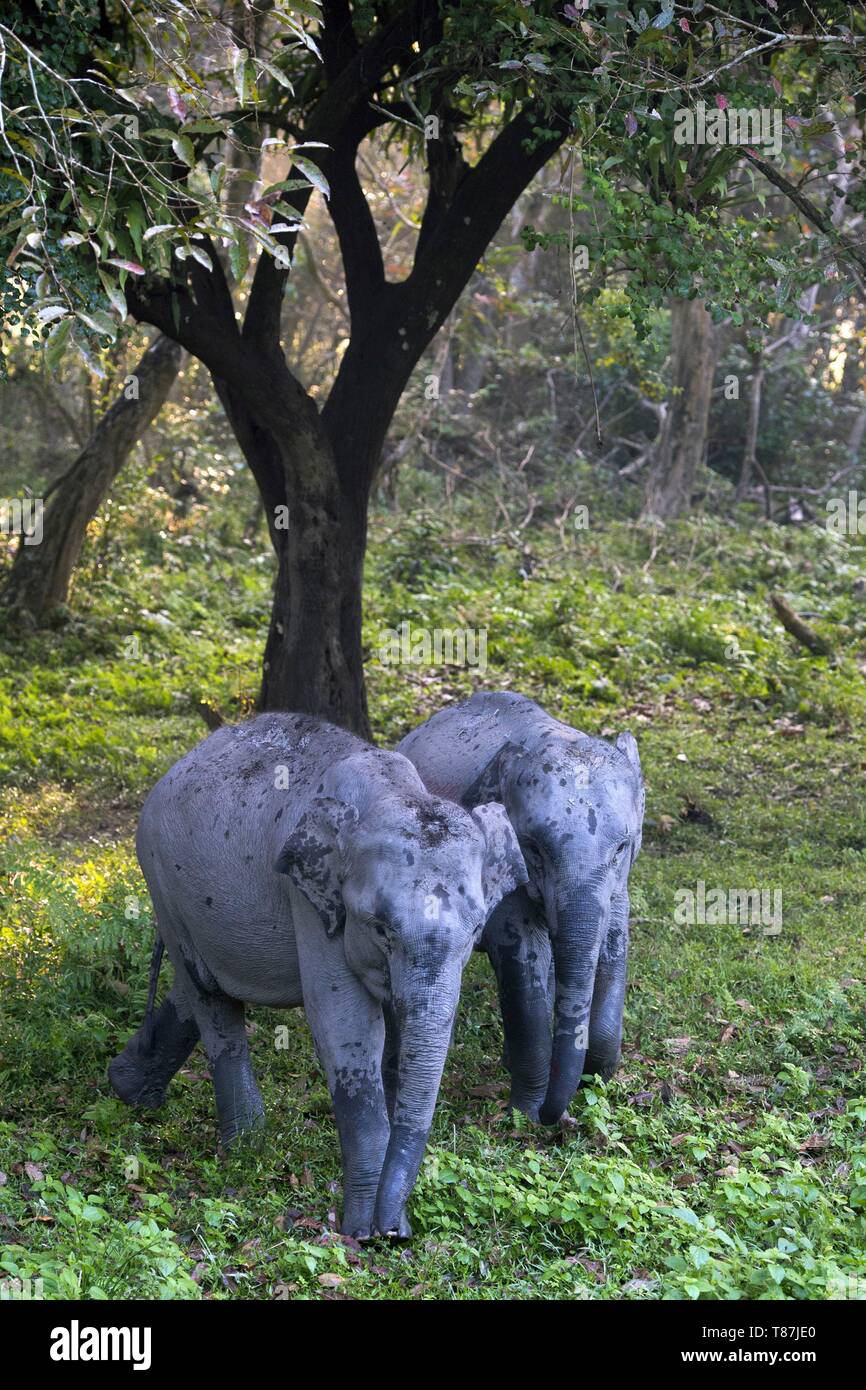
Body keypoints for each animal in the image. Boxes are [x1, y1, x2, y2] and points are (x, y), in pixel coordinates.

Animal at [108, 717, 528, 1239]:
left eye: (476, 930)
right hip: (161, 880)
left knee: (198, 988)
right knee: (208, 995)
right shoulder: (311, 900)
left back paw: (128, 1089)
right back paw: (246, 1145)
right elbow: (343, 1020)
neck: (393, 791)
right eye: (380, 927)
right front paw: (365, 1232)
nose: (390, 1229)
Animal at [397, 689, 644, 1123]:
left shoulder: (620, 885)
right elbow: (522, 965)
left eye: (621, 848)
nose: (554, 1116)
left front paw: (596, 1076)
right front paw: (525, 1115)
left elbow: (615, 946)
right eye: (533, 848)